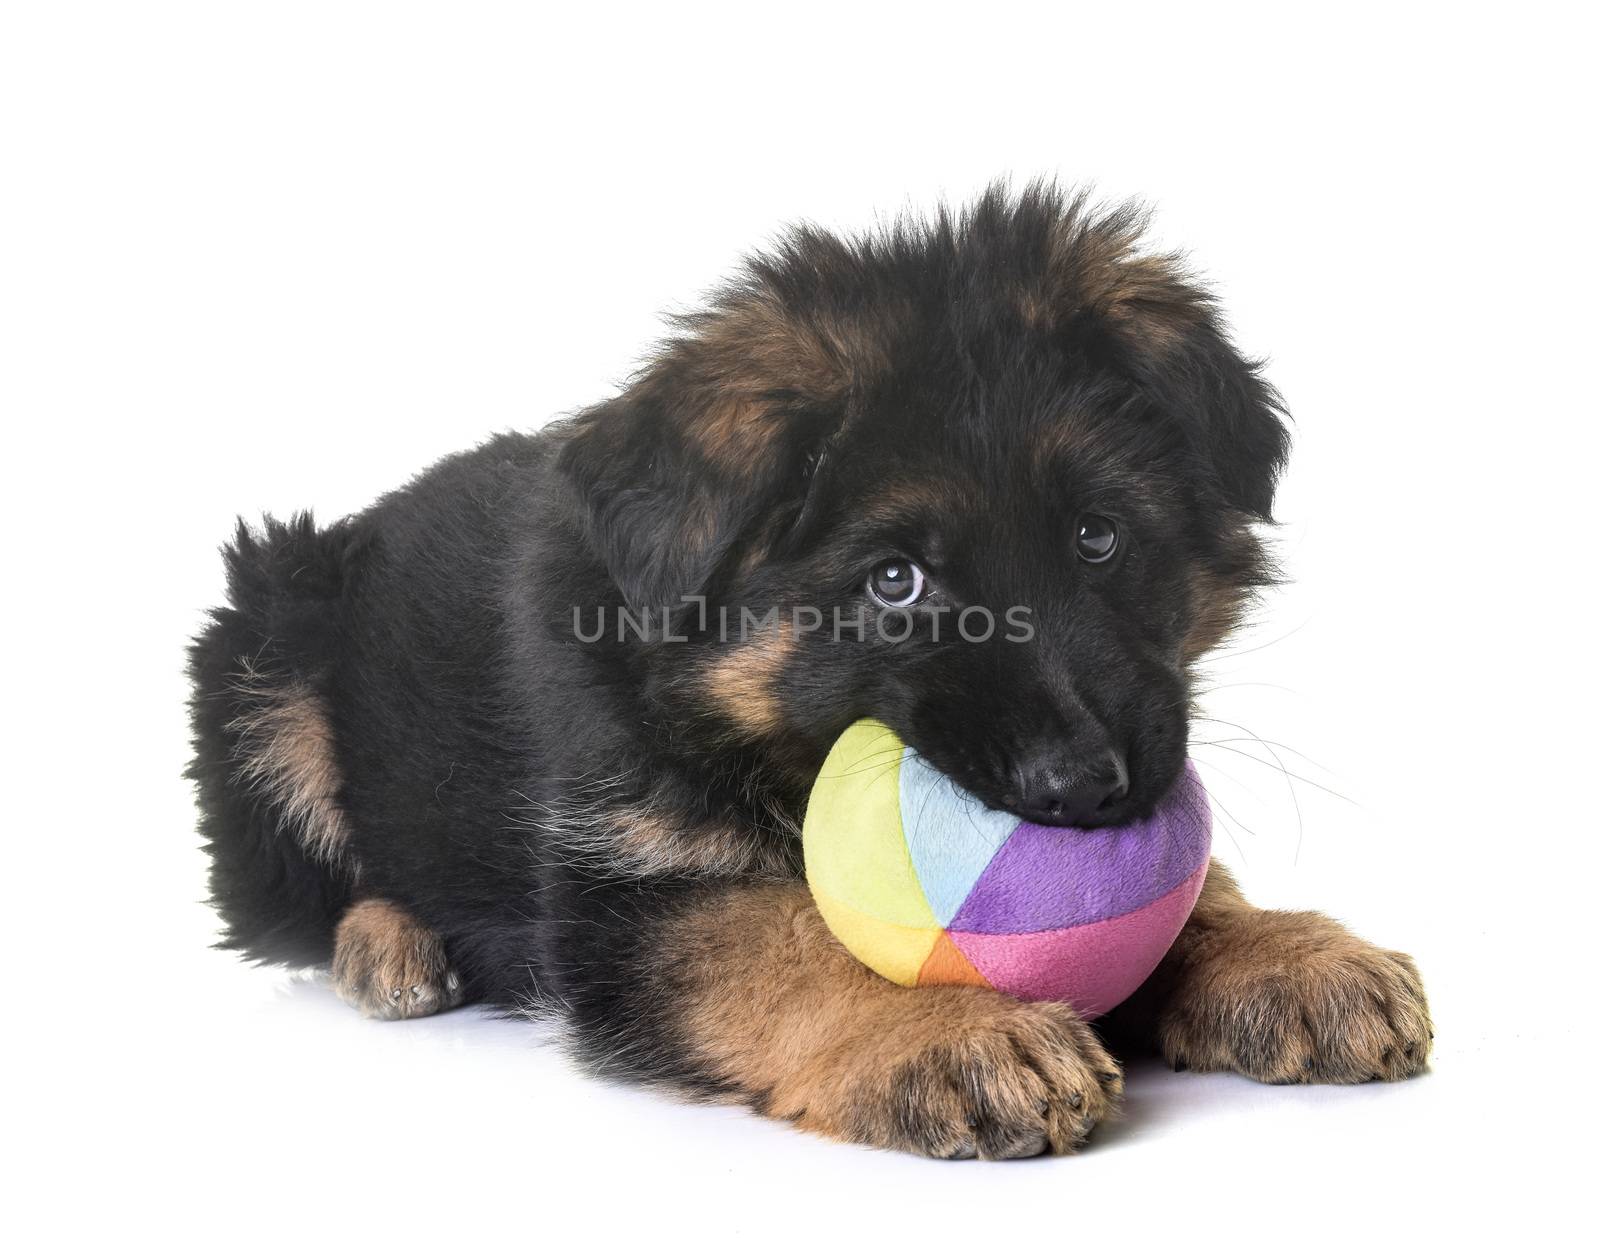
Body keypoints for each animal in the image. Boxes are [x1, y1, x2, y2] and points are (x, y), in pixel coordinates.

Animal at [193, 183, 1433, 1164]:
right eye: (894, 580)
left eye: (1097, 537)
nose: (1087, 791)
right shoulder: (621, 903)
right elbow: (776, 940)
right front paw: (938, 1028)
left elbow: (1193, 890)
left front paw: (1281, 949)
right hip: (265, 643)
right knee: (308, 893)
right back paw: (387, 942)